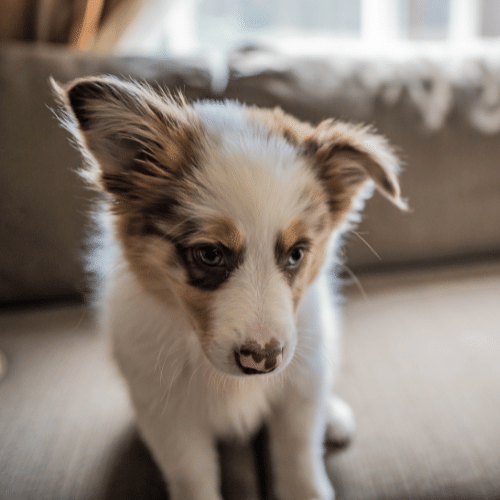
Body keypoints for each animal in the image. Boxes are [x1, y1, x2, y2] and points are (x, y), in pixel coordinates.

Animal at [53, 75, 406, 500]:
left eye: (297, 254)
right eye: (209, 254)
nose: (264, 360)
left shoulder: (299, 389)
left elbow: (298, 454)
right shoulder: (169, 418)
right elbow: (192, 478)